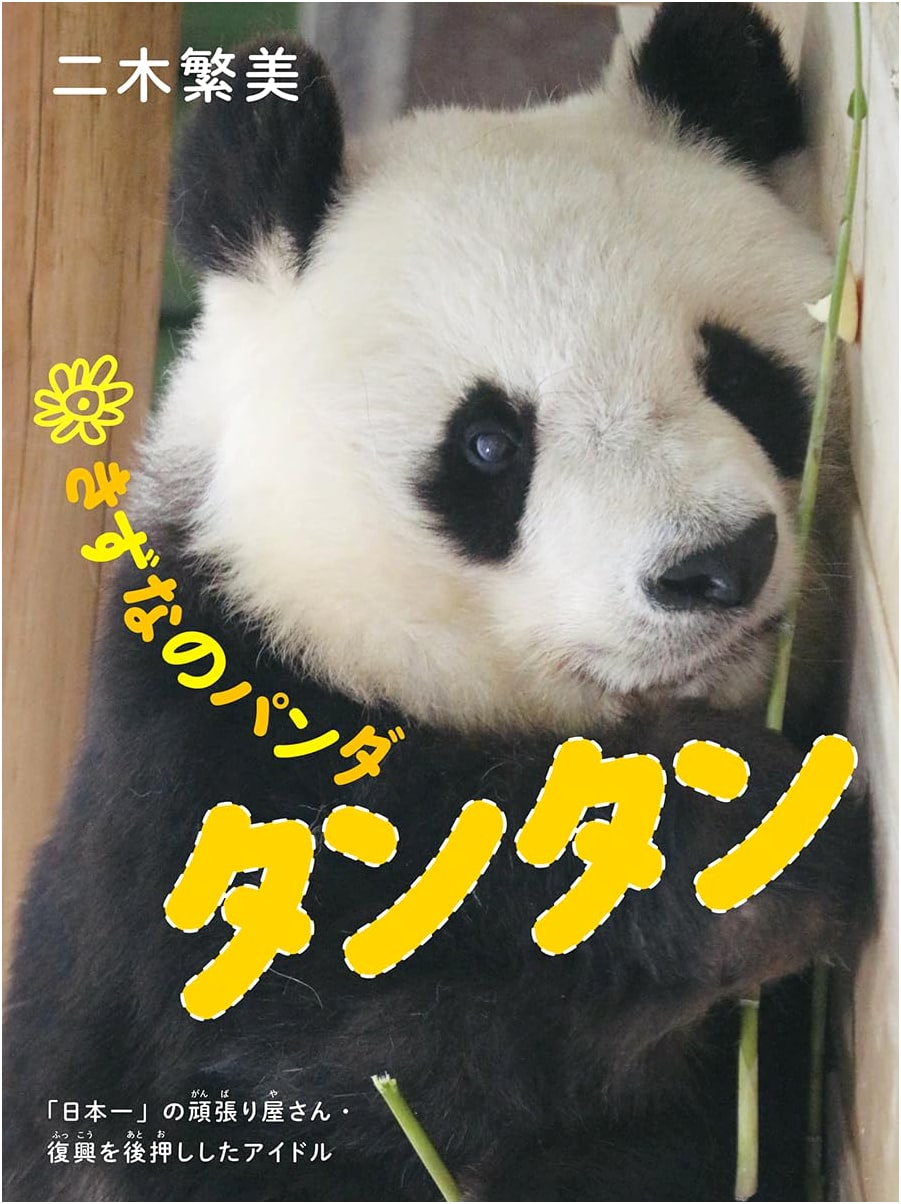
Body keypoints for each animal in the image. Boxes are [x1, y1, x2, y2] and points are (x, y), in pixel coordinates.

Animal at [4, 5, 871, 1201]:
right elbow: (340, 1042)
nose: (716, 565)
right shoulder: (192, 765)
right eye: (489, 445)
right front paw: (733, 836)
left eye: (736, 374)